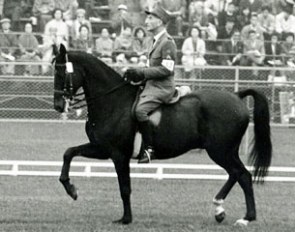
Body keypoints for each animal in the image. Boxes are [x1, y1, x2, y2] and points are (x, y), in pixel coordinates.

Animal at [53, 44, 272, 226]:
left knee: (242, 175)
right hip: (226, 151)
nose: (58, 106)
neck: (112, 101)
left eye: (62, 72)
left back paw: (245, 218)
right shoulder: (101, 149)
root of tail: (236, 96)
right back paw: (221, 210)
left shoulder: (118, 154)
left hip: (220, 151)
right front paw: (71, 189)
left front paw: (126, 219)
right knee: (238, 174)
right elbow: (68, 152)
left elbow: (125, 188)